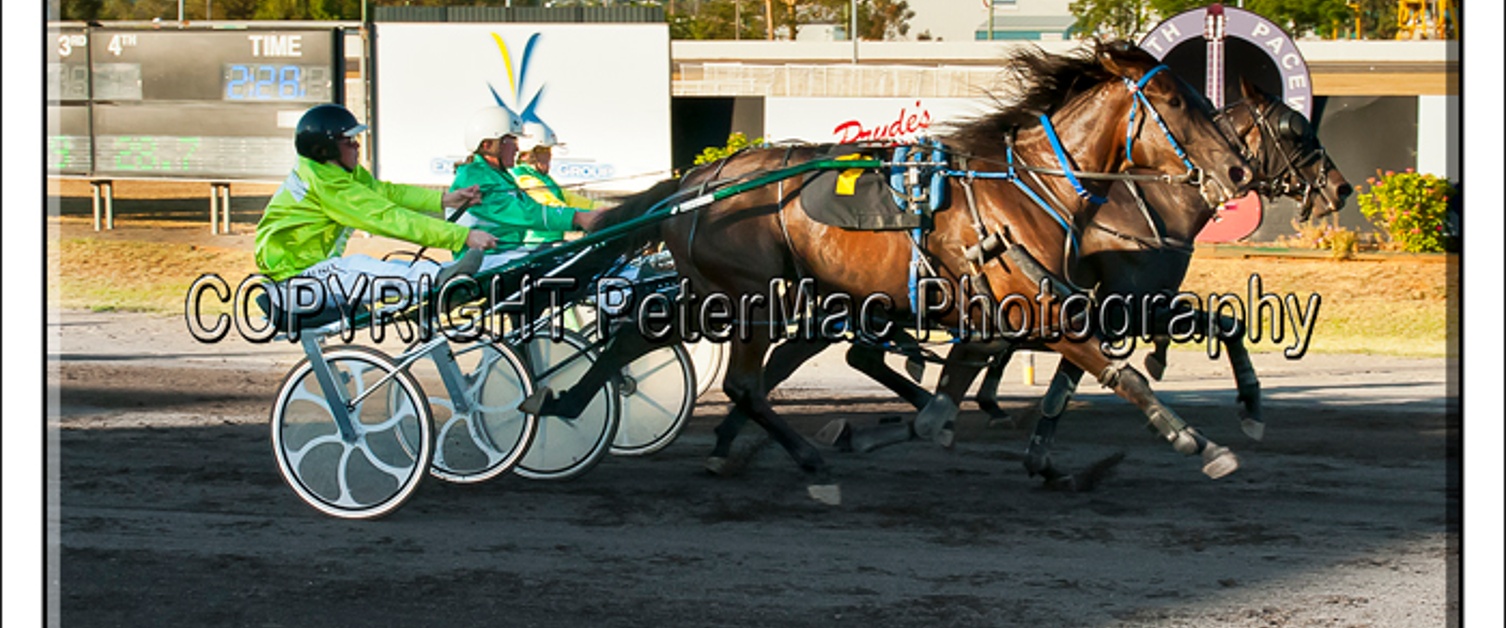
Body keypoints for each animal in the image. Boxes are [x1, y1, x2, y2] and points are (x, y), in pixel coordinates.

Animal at [533, 40, 1259, 499]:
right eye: (1175, 100)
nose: (1237, 170)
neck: (1025, 189)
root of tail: (698, 178)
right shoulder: (1041, 310)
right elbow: (1122, 373)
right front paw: (1201, 443)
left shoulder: (1002, 318)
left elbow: (944, 406)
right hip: (753, 298)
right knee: (742, 383)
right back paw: (806, 459)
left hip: (712, 291)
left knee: (639, 336)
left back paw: (565, 402)